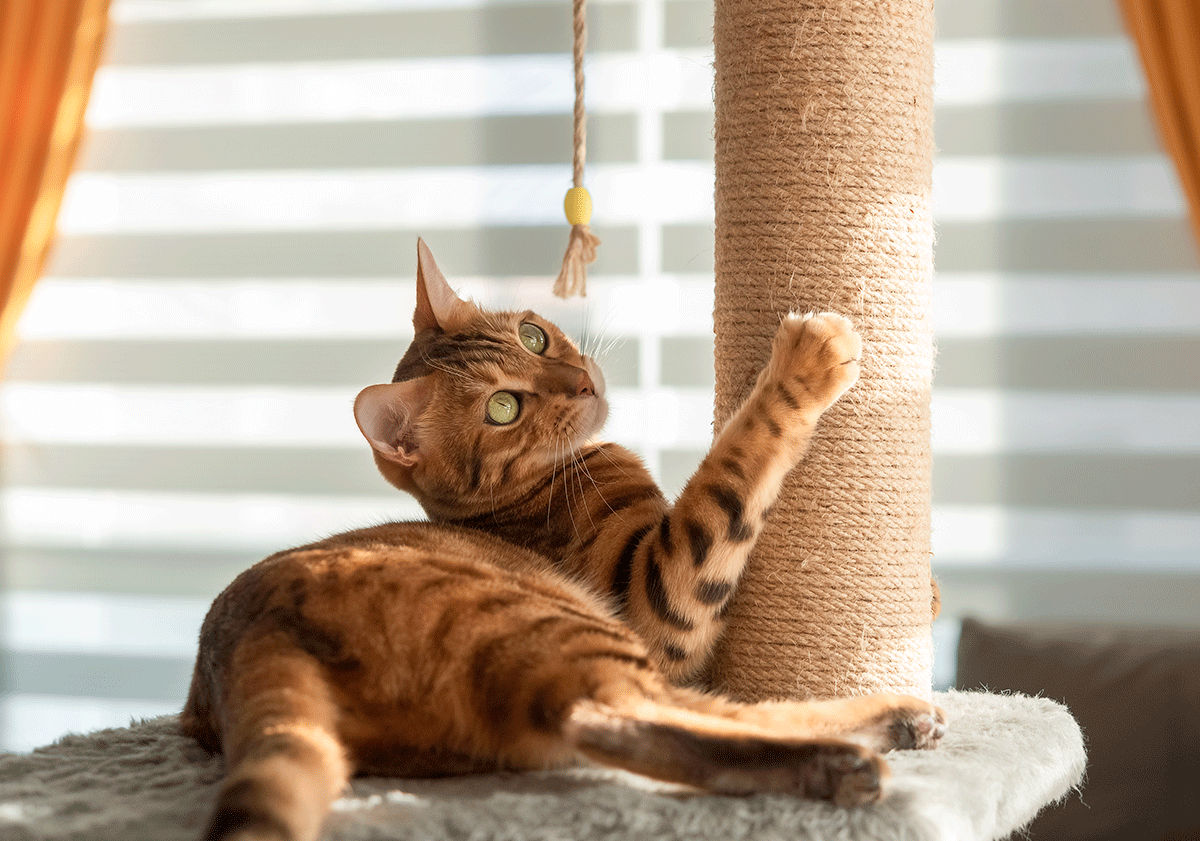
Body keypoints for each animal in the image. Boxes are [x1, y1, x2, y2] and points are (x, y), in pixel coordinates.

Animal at [180, 237, 945, 839]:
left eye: (533, 336)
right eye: (503, 406)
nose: (581, 381)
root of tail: (248, 637)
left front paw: (930, 592)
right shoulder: (657, 591)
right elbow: (738, 459)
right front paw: (806, 364)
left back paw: (890, 723)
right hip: (564, 621)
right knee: (621, 716)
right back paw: (849, 752)